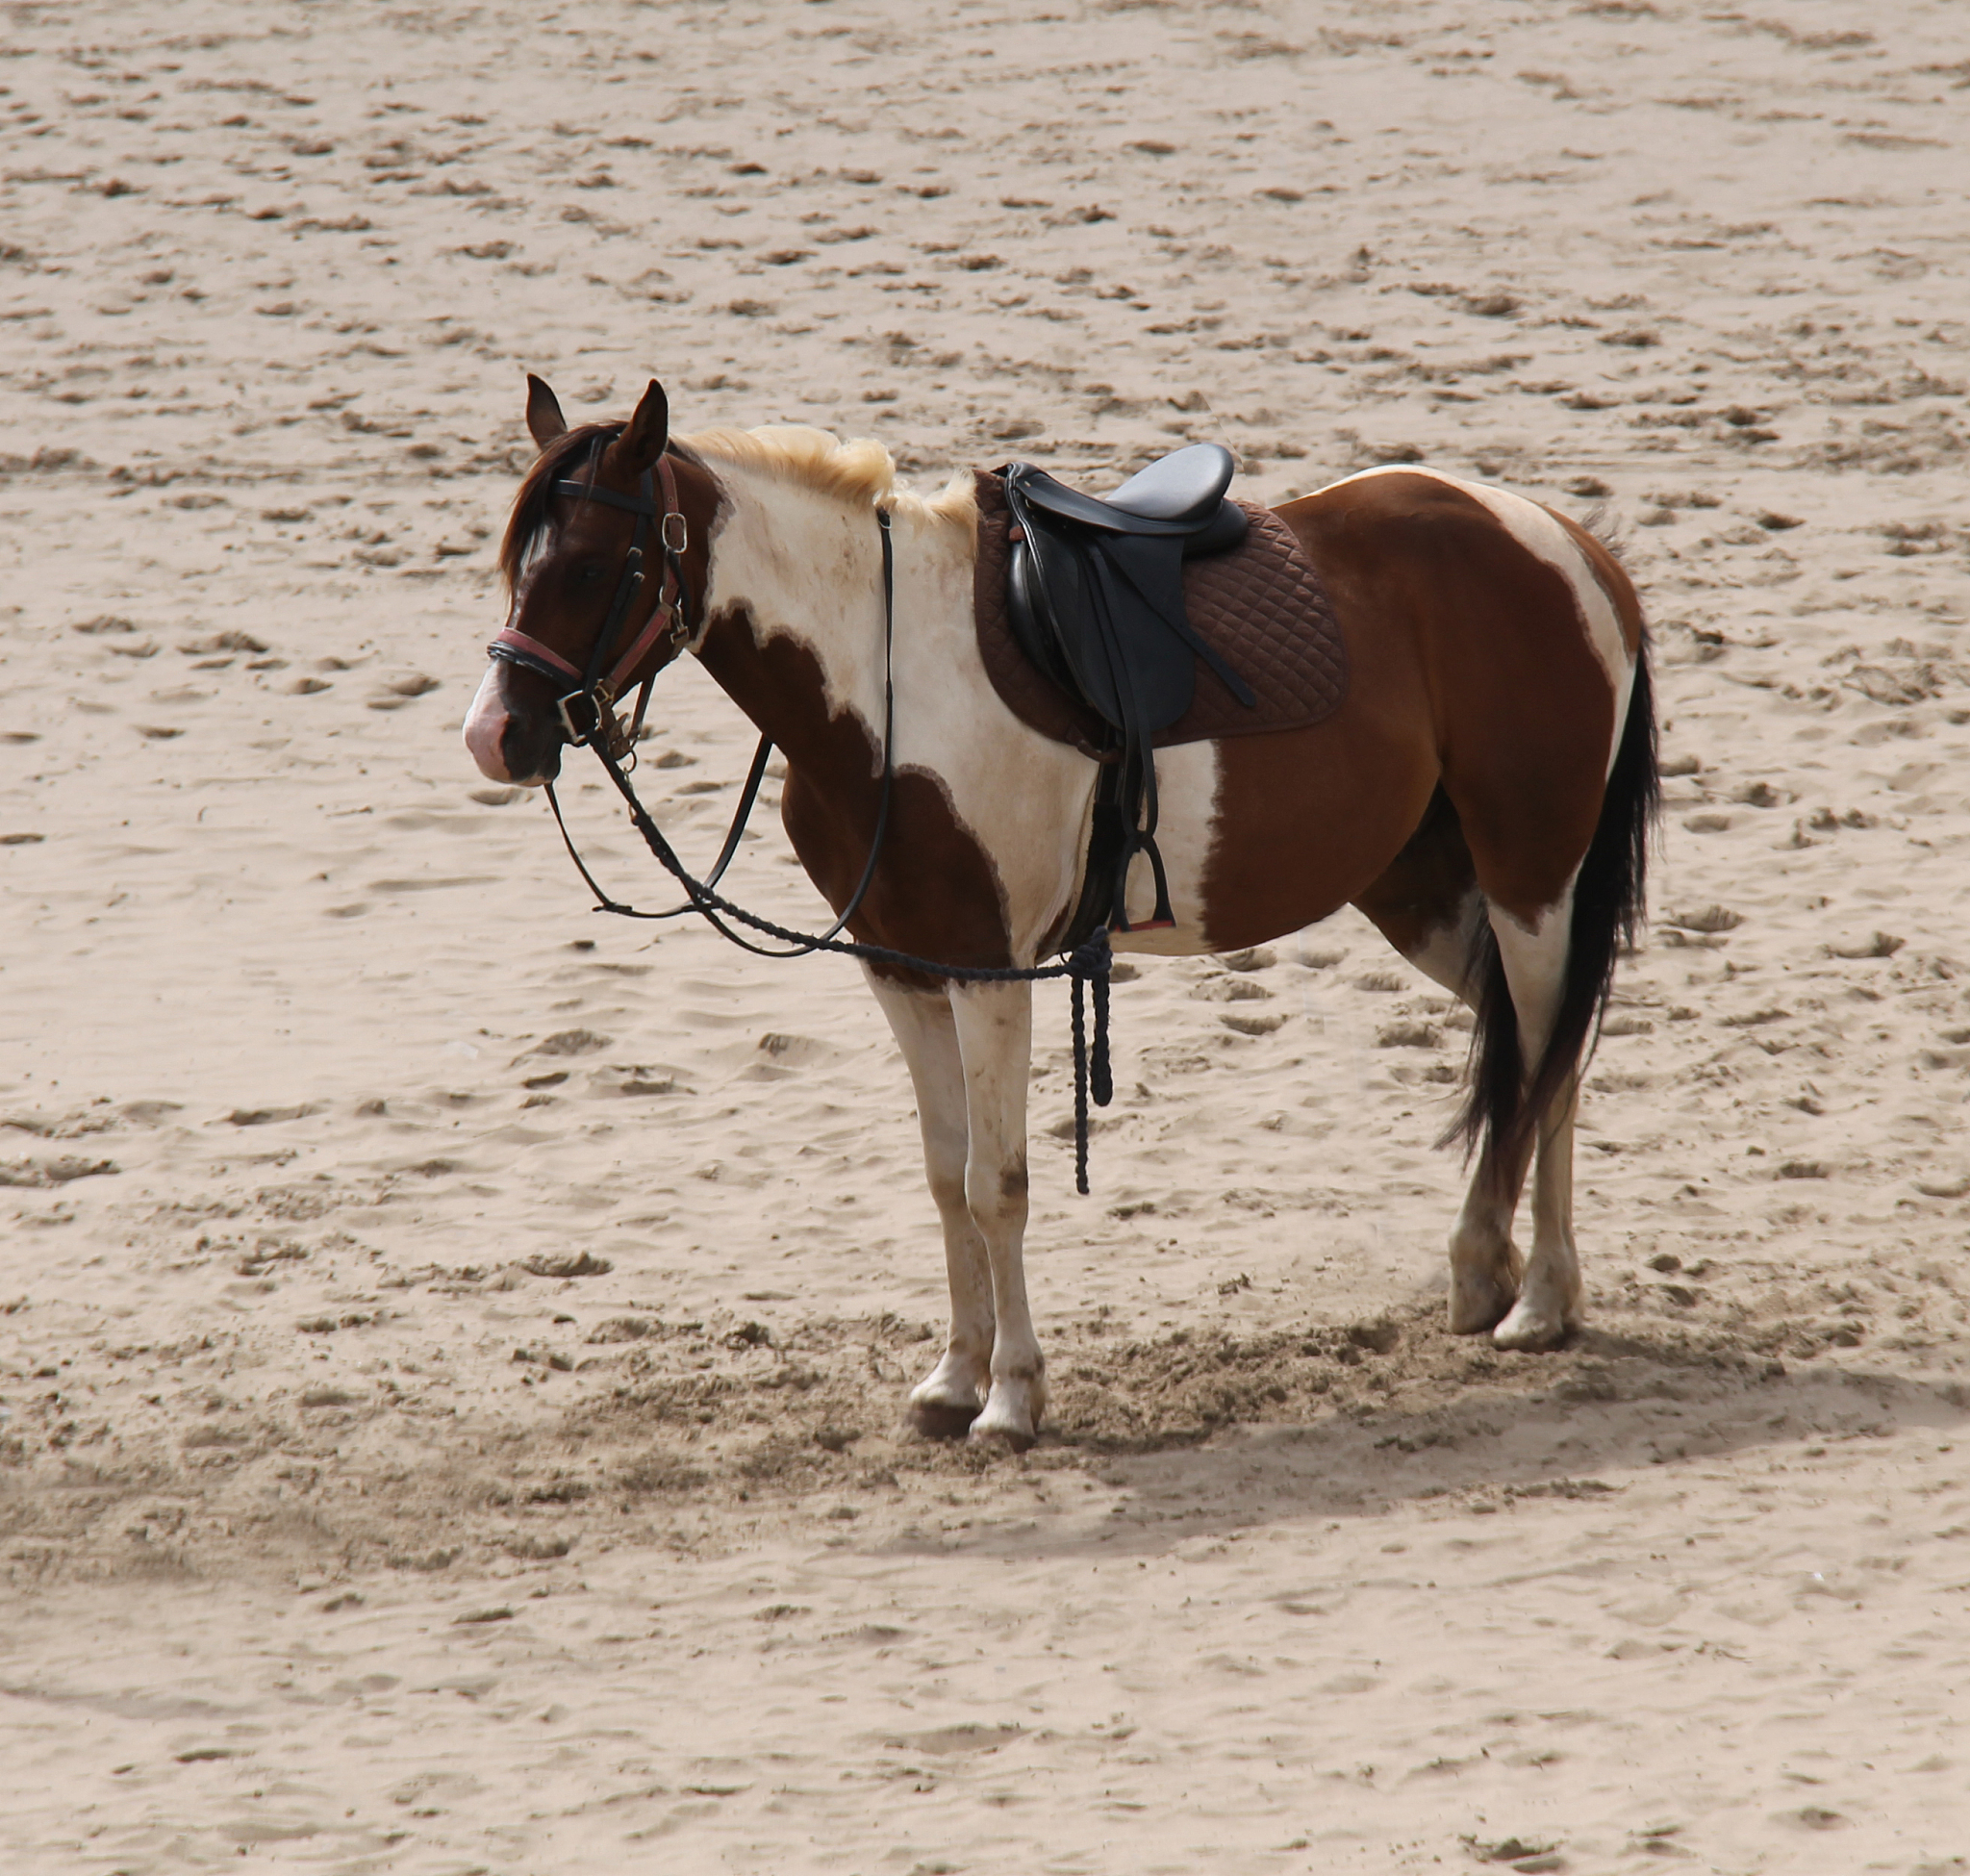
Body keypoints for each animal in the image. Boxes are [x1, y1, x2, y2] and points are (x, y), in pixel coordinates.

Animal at [465, 375, 1657, 1449]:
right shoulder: (900, 969)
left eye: (588, 565)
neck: (888, 680)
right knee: (1517, 1053)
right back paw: (1482, 1272)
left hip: (1528, 884)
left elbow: (996, 1185)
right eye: (514, 564)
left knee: (1551, 1058)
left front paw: (1009, 1399)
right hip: (1422, 894)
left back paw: (1542, 1301)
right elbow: (944, 1178)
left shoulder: (985, 974)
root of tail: (1570, 549)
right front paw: (952, 1383)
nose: (495, 737)